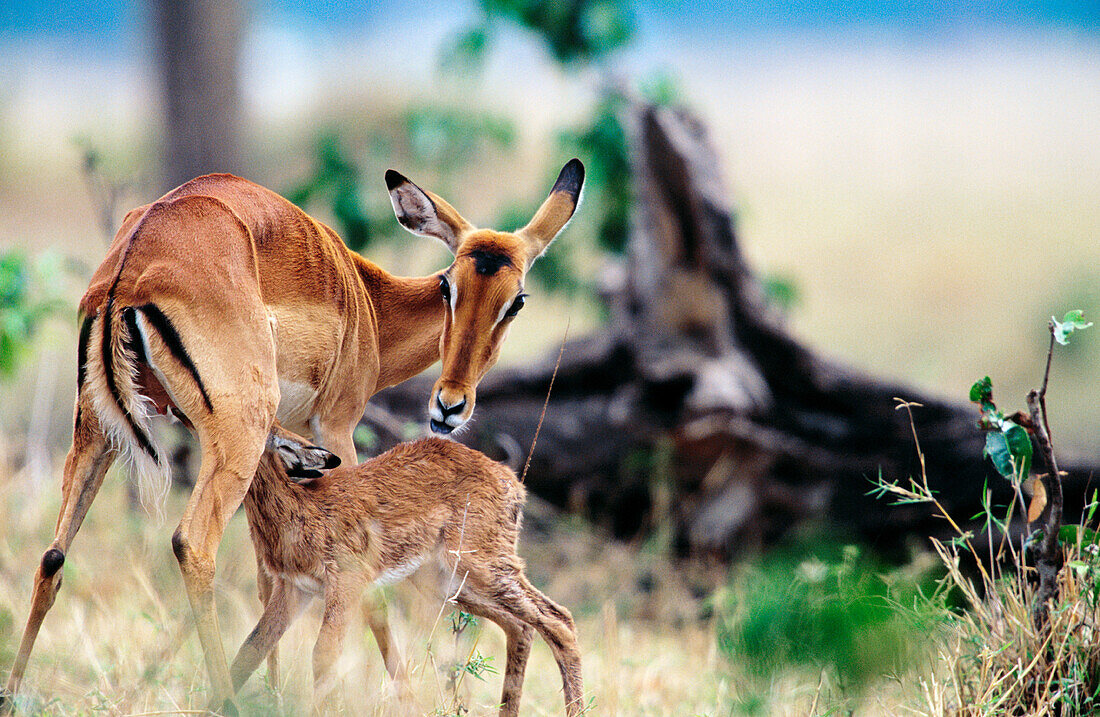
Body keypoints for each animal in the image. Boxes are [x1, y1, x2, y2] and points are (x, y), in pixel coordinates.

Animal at [232, 428, 585, 712]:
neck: (300, 510)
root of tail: (512, 481)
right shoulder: (294, 589)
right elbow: (251, 649)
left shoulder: (347, 582)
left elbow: (323, 655)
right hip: (450, 585)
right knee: (521, 626)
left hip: (485, 567)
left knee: (559, 619)